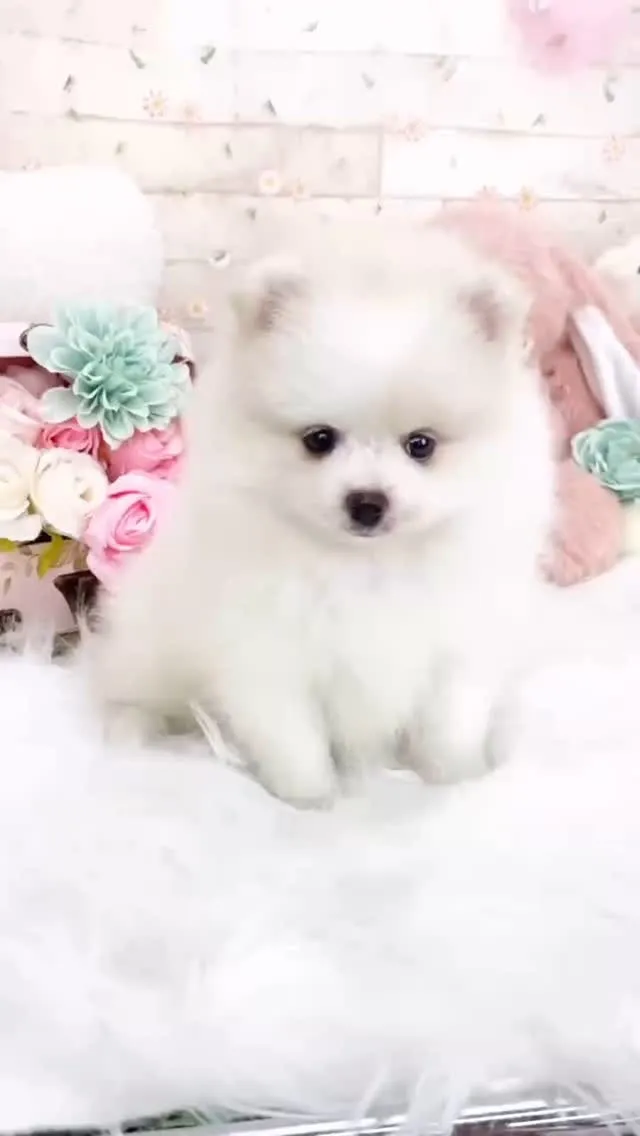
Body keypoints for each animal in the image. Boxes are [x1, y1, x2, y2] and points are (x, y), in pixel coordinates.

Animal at [89, 221, 555, 807]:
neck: (368, 564)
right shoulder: (268, 653)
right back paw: (135, 735)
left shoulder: (459, 646)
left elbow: (450, 725)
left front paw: (457, 783)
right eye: (319, 440)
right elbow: (295, 742)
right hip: (148, 650)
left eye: (421, 445)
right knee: (129, 694)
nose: (368, 501)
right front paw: (311, 803)